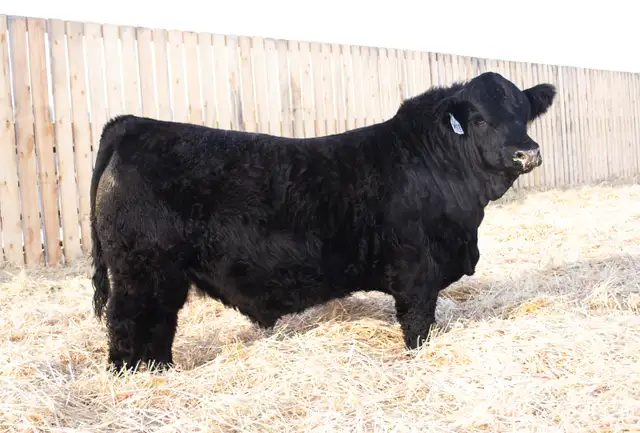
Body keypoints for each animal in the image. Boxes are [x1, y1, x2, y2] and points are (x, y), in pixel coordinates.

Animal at [89, 71, 555, 373]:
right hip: (141, 271)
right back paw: (137, 377)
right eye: (479, 119)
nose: (527, 153)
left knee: (158, 326)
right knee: (129, 325)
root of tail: (135, 124)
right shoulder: (417, 273)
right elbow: (417, 327)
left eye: (523, 114)